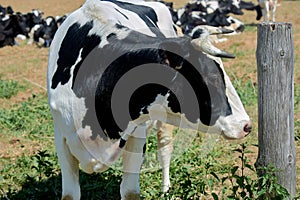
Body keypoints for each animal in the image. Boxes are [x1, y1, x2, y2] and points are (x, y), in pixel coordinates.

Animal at [47, 0, 253, 199]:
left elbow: (130, 192)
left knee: (165, 149)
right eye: (212, 77)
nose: (246, 125)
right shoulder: (61, 138)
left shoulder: (137, 134)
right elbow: (69, 194)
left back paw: (165, 189)